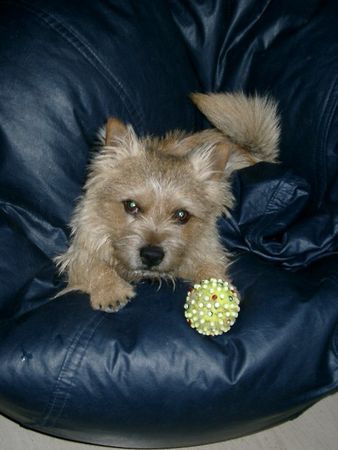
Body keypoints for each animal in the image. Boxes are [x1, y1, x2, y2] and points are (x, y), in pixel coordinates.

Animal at [55, 92, 278, 312]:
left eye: (182, 215)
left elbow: (211, 267)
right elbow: (92, 264)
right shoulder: (79, 248)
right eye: (131, 206)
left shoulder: (207, 248)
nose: (151, 255)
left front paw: (218, 297)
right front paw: (110, 290)